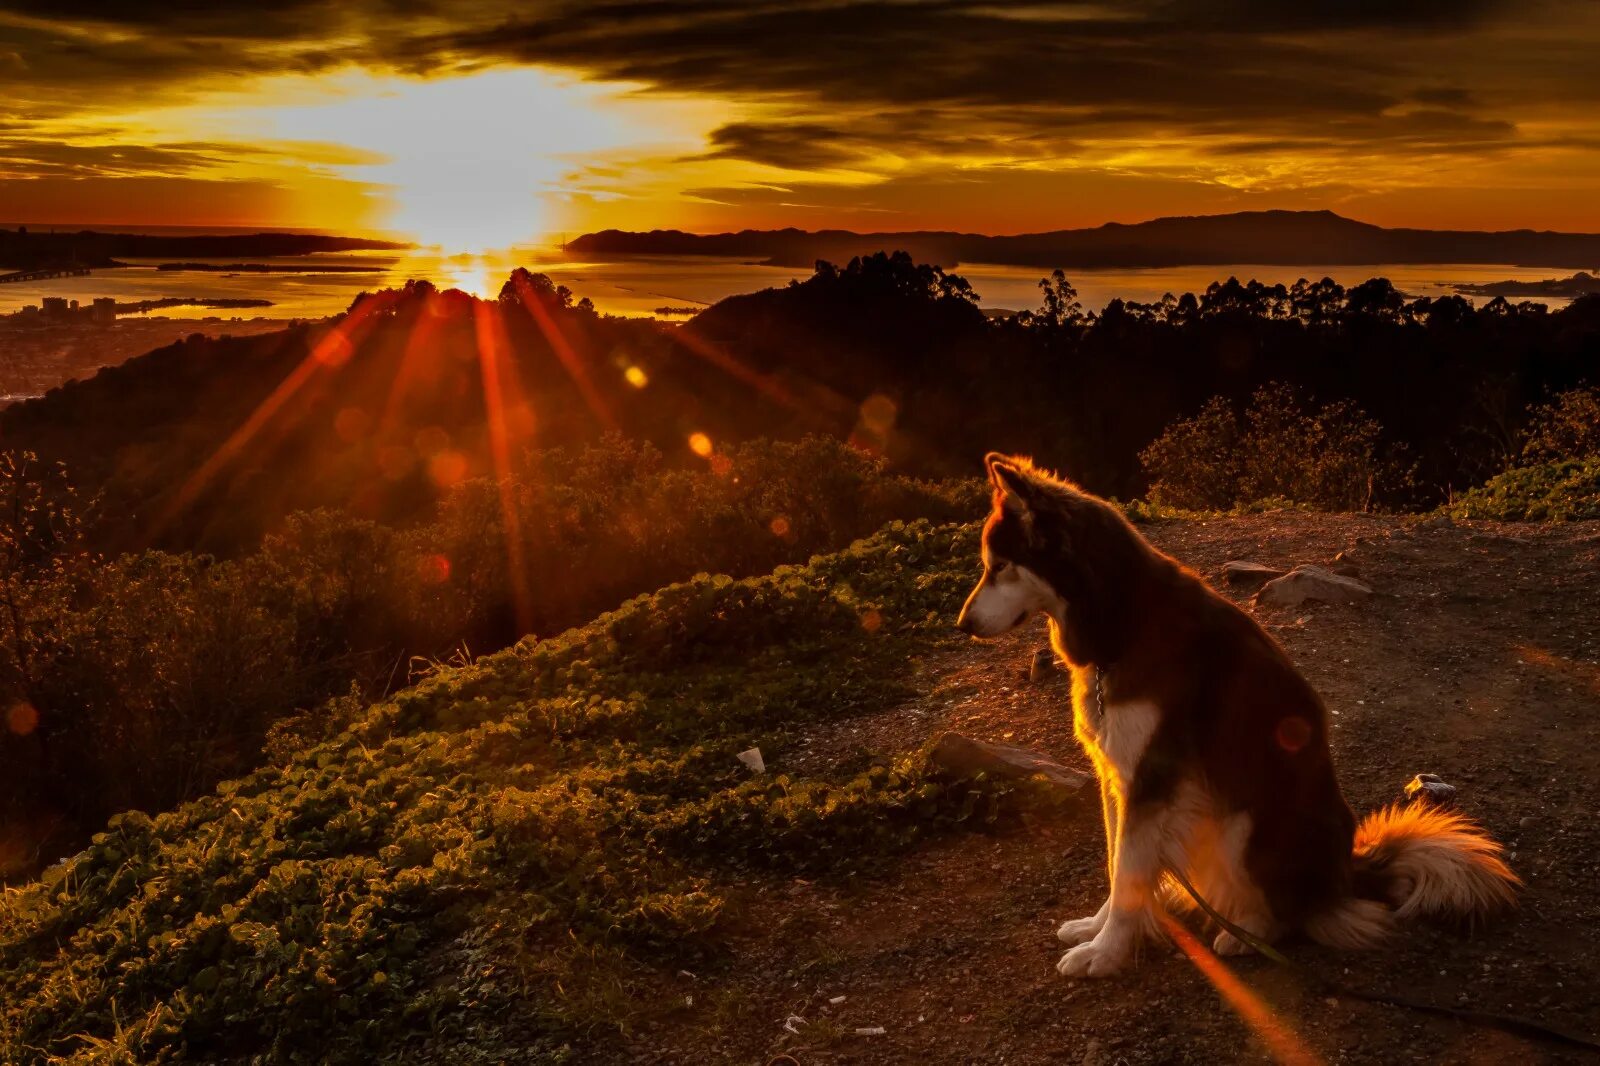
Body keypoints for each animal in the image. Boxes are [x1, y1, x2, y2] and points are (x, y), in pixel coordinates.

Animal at [953, 451, 1516, 973]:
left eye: (998, 566)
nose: (962, 625)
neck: (1123, 623)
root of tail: (1346, 875)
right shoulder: (1118, 774)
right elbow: (1118, 865)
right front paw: (1097, 927)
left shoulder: (1152, 776)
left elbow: (1131, 873)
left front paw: (1107, 952)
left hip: (1243, 823)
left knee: (1298, 916)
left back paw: (1247, 933)